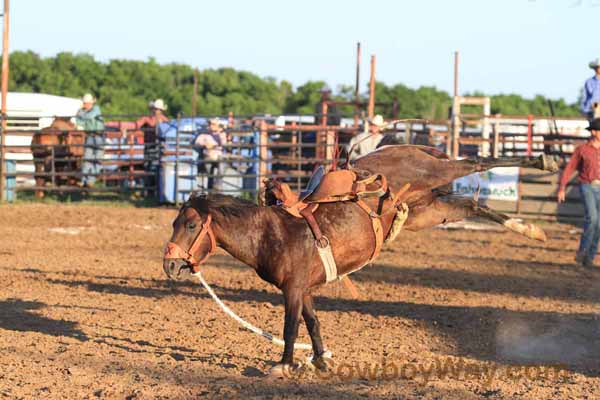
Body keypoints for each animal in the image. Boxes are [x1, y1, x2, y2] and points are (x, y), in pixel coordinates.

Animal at [162, 145, 556, 376]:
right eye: (174, 223)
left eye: (192, 224)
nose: (169, 264)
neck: (270, 233)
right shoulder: (305, 289)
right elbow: (313, 323)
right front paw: (320, 361)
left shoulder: (292, 290)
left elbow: (291, 327)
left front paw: (284, 365)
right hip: (425, 211)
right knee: (471, 204)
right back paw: (531, 229)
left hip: (432, 174)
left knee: (475, 161)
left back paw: (544, 161)